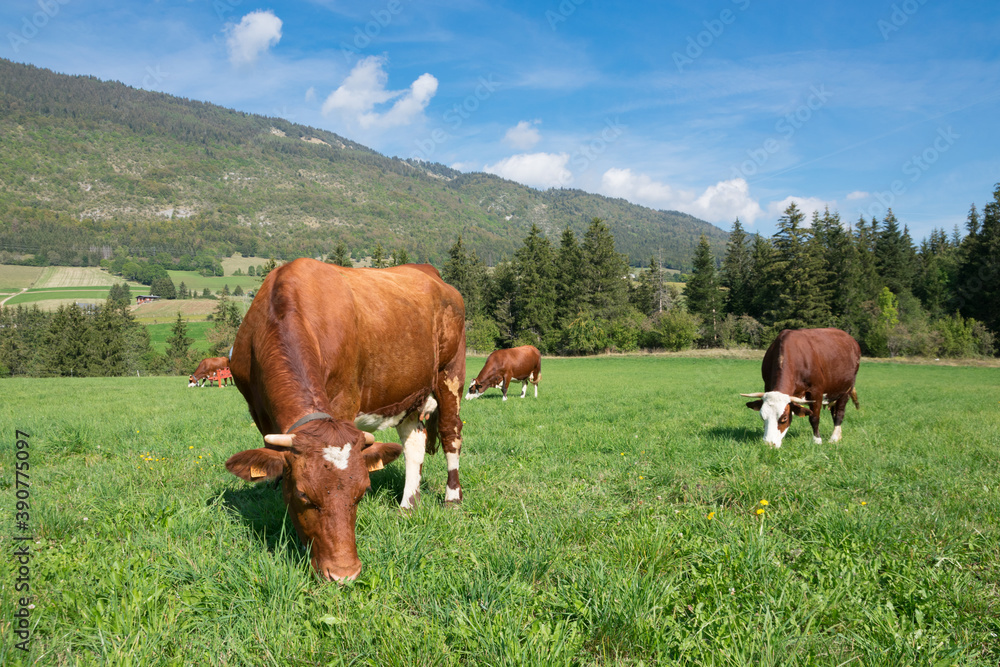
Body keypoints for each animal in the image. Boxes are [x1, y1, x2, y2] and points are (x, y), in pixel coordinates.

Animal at [223, 258, 466, 582]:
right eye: (303, 494)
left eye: (362, 492)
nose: (344, 574)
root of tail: (429, 271)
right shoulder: (259, 411)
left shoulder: (344, 400)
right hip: (410, 390)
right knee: (414, 442)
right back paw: (407, 505)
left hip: (451, 371)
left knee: (451, 432)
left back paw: (452, 497)